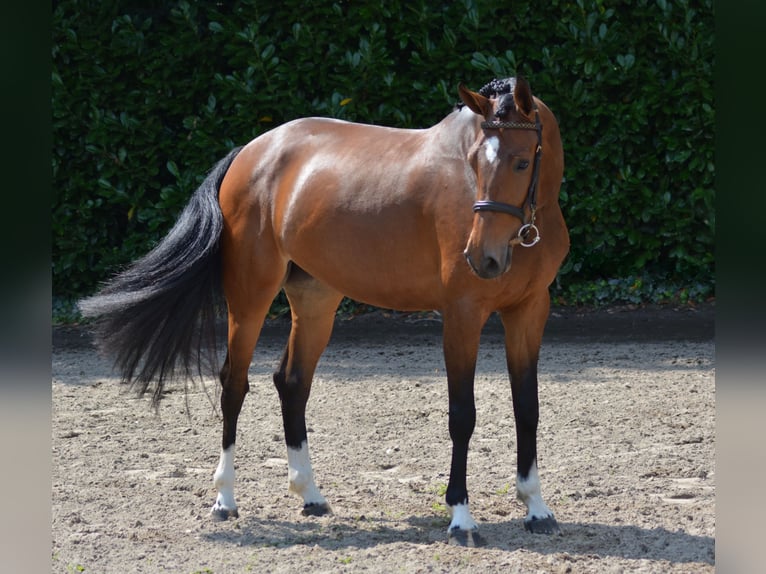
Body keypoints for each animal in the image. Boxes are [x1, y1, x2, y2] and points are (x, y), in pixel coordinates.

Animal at [79, 77, 568, 548]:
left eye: (521, 162)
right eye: (474, 162)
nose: (482, 259)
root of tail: (251, 152)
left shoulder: (529, 311)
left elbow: (528, 407)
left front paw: (536, 508)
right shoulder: (462, 314)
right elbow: (462, 415)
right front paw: (461, 518)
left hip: (316, 298)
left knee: (292, 381)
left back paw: (310, 495)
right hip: (250, 296)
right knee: (234, 384)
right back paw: (224, 499)